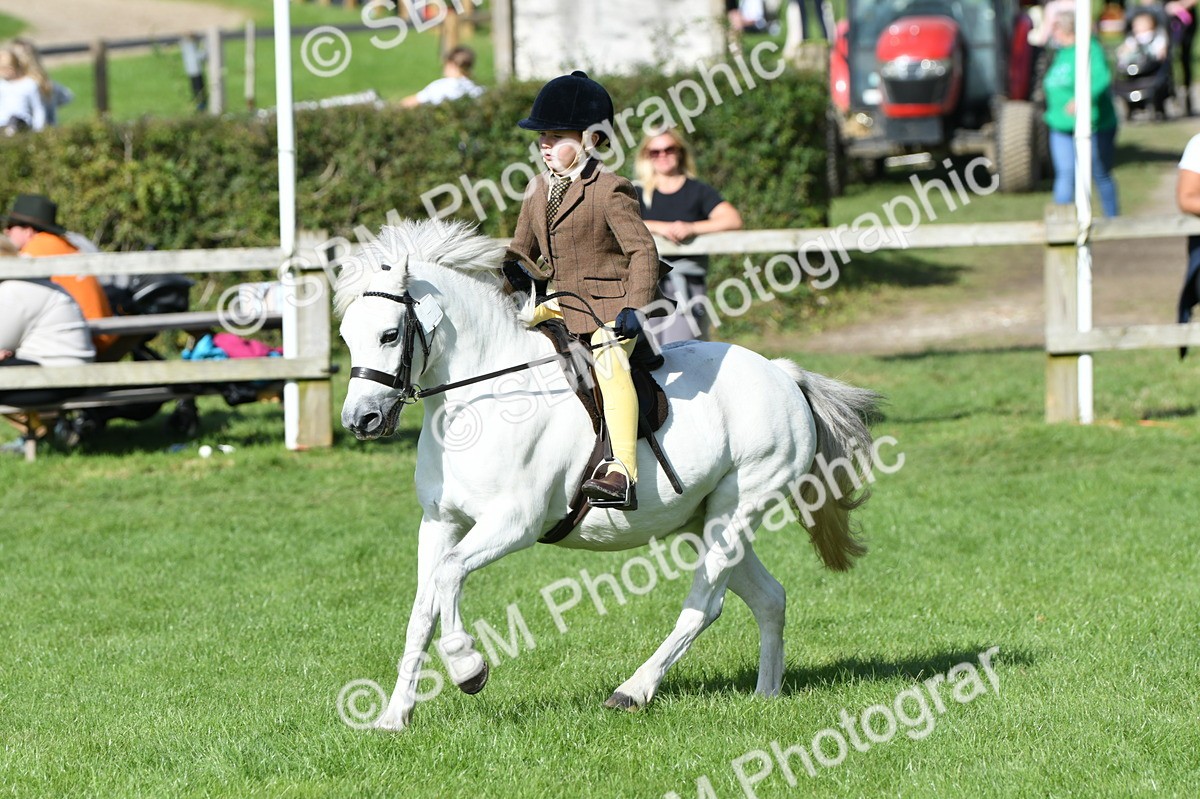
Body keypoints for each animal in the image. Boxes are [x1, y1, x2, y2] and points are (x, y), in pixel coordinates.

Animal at [335, 218, 881, 731]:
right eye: (345, 337)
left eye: (389, 335)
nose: (361, 420)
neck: (479, 403)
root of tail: (782, 374)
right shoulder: (439, 522)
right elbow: (422, 609)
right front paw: (394, 717)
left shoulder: (513, 523)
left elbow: (449, 575)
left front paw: (468, 668)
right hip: (702, 518)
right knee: (769, 598)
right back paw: (766, 695)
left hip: (738, 505)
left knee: (705, 604)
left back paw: (632, 691)